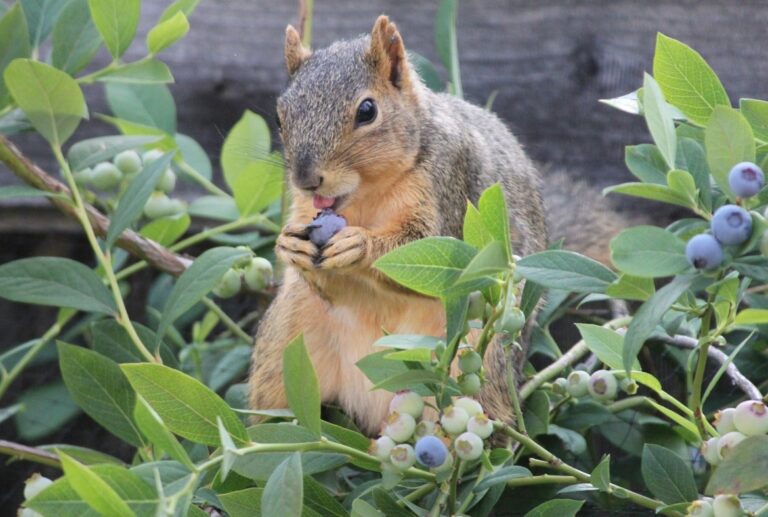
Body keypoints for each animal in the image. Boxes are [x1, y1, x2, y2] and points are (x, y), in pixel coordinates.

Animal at [249, 16, 627, 434]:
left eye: (367, 110)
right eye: (280, 115)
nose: (306, 179)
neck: (366, 194)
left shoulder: (449, 185)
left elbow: (424, 251)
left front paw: (359, 245)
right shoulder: (305, 211)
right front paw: (289, 246)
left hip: (476, 359)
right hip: (285, 347)